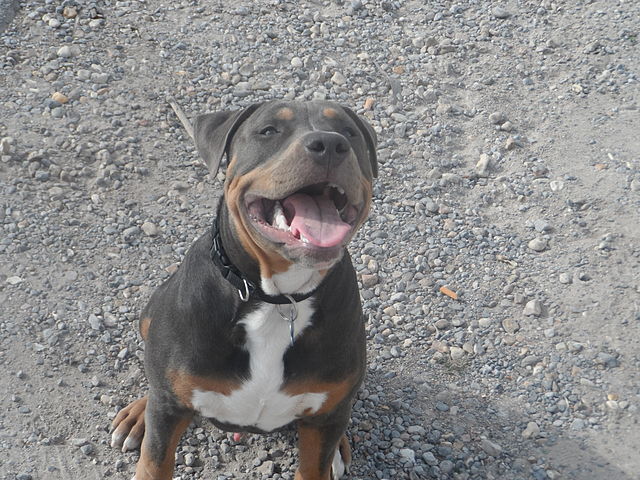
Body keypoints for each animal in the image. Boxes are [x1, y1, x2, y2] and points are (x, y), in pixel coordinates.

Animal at [112, 99, 378, 478]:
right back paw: (137, 416)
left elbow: (315, 461)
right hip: (151, 316)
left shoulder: (325, 421)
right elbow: (154, 463)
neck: (277, 298)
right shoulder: (168, 410)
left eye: (349, 132)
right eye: (268, 131)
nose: (329, 143)